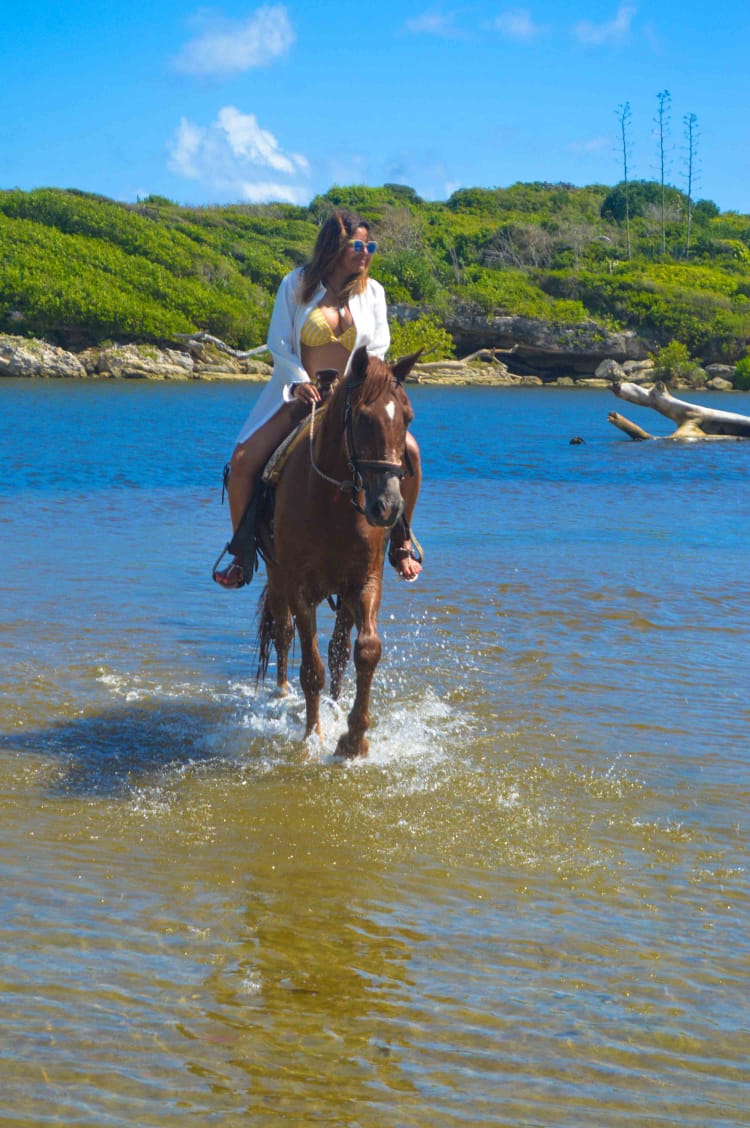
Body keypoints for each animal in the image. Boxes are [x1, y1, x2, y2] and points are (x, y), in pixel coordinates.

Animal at [256, 345, 420, 758]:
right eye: (362, 418)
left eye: (407, 417)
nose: (388, 508)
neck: (331, 501)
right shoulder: (300, 590)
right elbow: (311, 667)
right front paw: (313, 735)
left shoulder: (364, 583)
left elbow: (365, 651)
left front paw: (353, 739)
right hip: (277, 577)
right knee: (282, 632)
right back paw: (283, 693)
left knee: (339, 650)